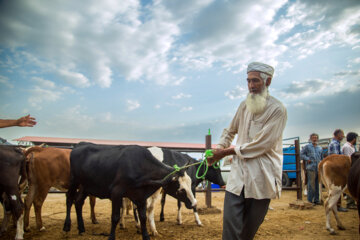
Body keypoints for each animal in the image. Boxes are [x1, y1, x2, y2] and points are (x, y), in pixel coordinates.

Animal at [63, 142, 195, 240]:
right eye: (181, 189)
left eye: (190, 183)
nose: (194, 204)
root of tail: (80, 145)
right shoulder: (116, 193)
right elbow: (115, 217)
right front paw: (111, 237)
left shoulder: (141, 197)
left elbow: (143, 217)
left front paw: (146, 236)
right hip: (74, 181)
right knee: (69, 199)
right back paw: (67, 226)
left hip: (86, 186)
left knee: (78, 202)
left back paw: (81, 229)